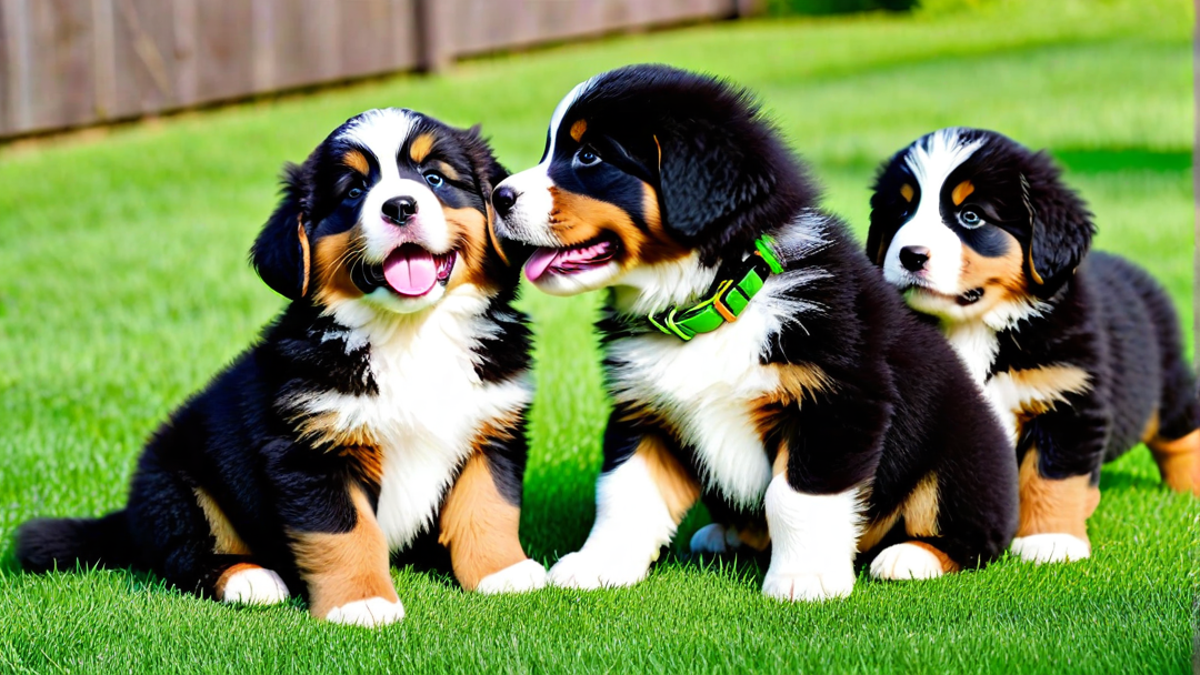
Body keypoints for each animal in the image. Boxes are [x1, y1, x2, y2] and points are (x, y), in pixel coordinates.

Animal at [17, 107, 544, 629]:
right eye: (353, 191)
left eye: (435, 178)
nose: (398, 206)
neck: (410, 333)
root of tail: (127, 514)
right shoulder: (308, 452)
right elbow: (345, 532)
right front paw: (362, 602)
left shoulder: (491, 428)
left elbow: (489, 507)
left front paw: (504, 573)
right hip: (178, 482)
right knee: (183, 555)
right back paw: (250, 579)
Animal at [492, 64, 1017, 598]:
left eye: (588, 155)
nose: (498, 196)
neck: (715, 300)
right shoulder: (645, 409)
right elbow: (624, 493)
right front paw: (599, 564)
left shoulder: (838, 403)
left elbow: (795, 497)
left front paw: (804, 579)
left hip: (957, 452)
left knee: (975, 535)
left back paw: (912, 556)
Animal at [868, 127, 1200, 562]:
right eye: (902, 212)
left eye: (971, 216)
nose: (911, 255)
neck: (975, 325)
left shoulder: (1069, 401)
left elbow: (1051, 477)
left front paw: (1051, 539)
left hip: (1165, 385)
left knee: (1182, 431)